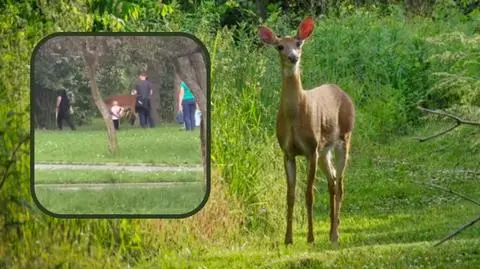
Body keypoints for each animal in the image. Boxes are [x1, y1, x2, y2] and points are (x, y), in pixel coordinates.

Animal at [258, 15, 356, 245]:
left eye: (298, 43)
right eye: (279, 46)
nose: (293, 57)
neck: (295, 117)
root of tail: (341, 91)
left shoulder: (311, 149)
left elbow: (309, 193)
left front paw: (310, 236)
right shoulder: (288, 152)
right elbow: (290, 195)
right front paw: (288, 238)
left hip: (344, 138)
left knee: (340, 184)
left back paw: (335, 234)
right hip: (324, 150)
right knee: (332, 181)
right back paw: (331, 230)